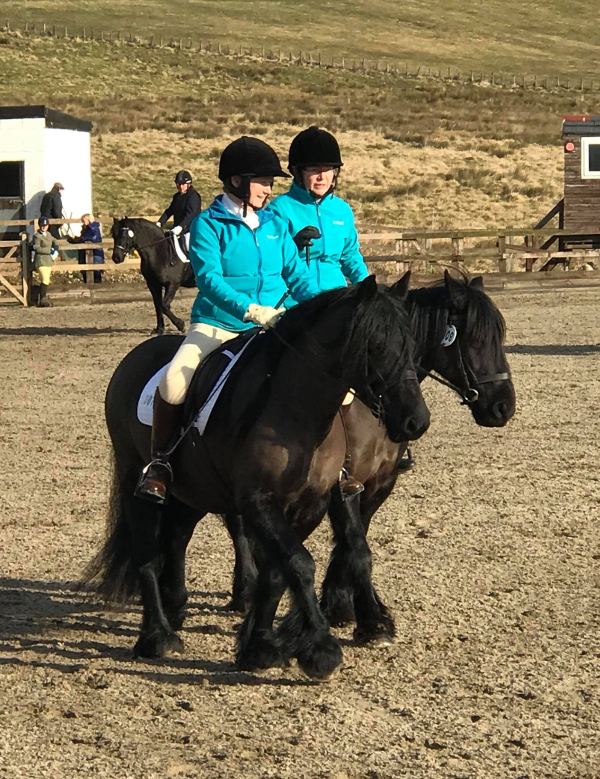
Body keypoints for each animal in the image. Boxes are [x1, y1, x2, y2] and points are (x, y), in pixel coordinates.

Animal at [85, 278, 432, 680]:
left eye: (413, 345)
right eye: (374, 346)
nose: (416, 420)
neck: (297, 412)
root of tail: (135, 356)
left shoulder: (311, 503)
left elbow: (280, 571)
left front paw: (260, 646)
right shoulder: (259, 501)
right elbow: (300, 564)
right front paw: (321, 650)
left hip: (193, 492)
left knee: (176, 538)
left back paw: (175, 610)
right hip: (136, 482)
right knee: (146, 554)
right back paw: (157, 637)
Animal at [225, 272, 516, 644]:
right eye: (475, 342)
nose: (504, 407)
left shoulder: (378, 483)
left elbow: (355, 543)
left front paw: (343, 605)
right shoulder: (343, 484)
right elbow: (357, 547)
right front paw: (369, 619)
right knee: (238, 525)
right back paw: (245, 591)